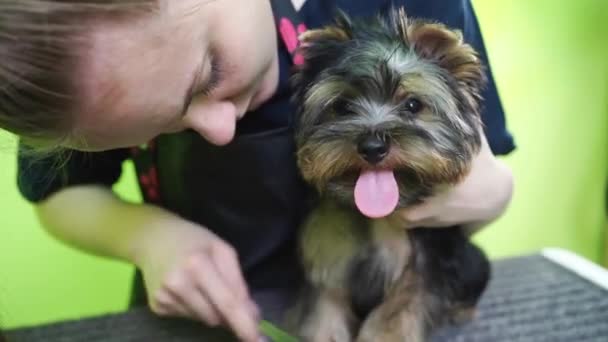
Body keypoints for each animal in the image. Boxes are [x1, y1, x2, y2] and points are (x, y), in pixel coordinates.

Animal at [288, 6, 492, 340]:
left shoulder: (426, 262)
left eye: (413, 104)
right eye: (342, 106)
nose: (373, 146)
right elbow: (325, 307)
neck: (380, 215)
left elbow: (399, 309)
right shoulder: (328, 252)